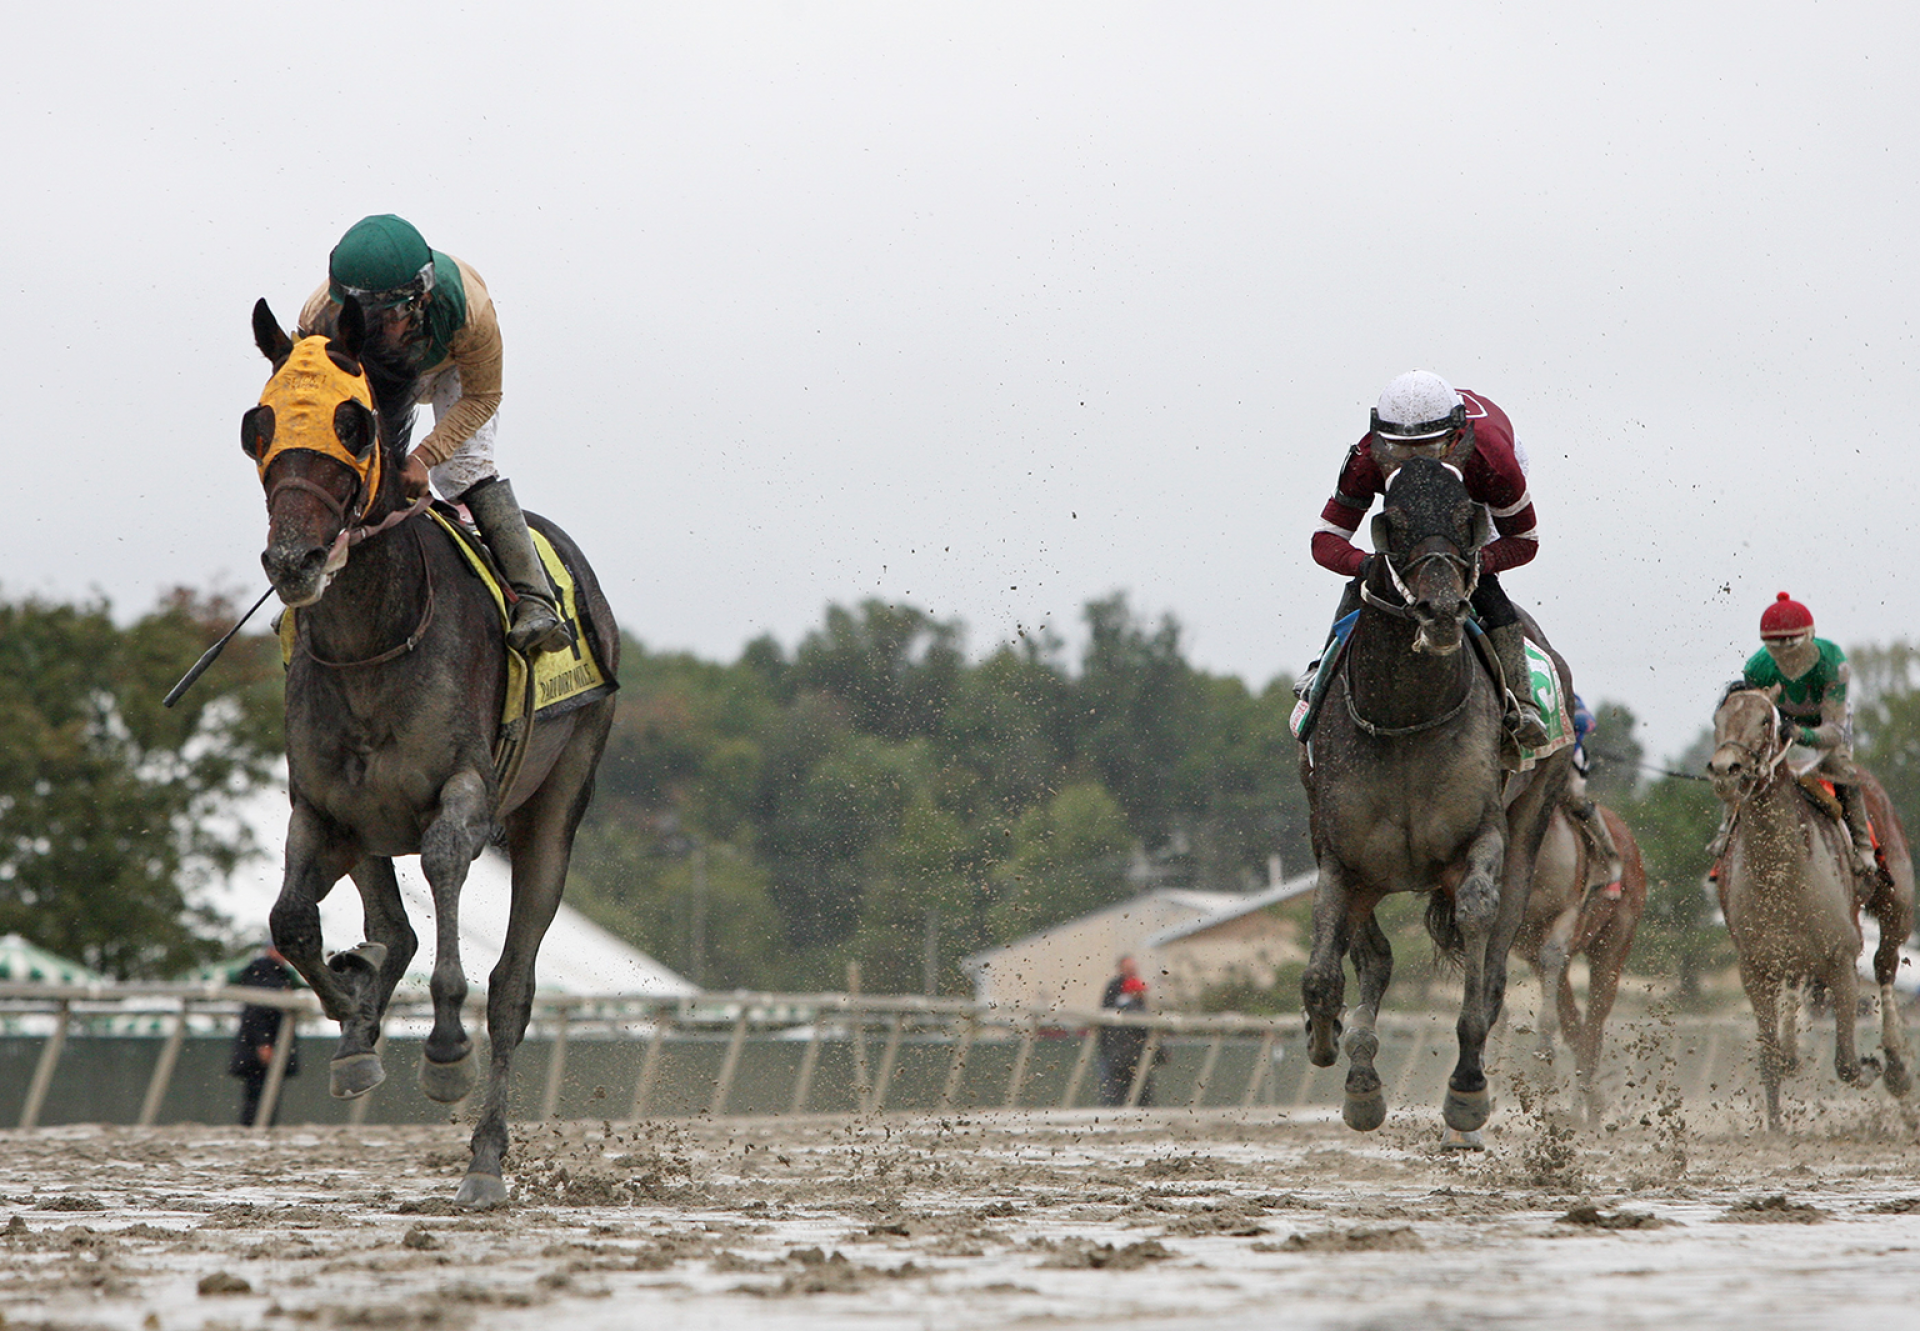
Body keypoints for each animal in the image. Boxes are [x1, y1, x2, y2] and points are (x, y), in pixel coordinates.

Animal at [240, 297, 614, 1206]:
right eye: (257, 426)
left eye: (354, 423)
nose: (293, 560)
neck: (372, 638)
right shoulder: (322, 806)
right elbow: (291, 922)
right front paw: (354, 1023)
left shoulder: (468, 792)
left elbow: (446, 868)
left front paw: (443, 1048)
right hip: (370, 825)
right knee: (393, 927)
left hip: (559, 802)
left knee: (512, 985)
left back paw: (485, 1157)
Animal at [1297, 459, 1566, 1144]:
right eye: (1393, 522)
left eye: (1465, 517)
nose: (1441, 609)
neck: (1404, 715)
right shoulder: (1341, 858)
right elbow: (1327, 972)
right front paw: (1327, 1039)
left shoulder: (1480, 839)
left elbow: (1475, 930)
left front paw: (1467, 1088)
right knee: (1374, 961)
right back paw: (1361, 1072)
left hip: (1531, 827)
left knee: (1492, 968)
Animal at [1512, 798, 1651, 1121]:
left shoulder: (1566, 915)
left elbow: (1552, 954)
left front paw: (1542, 1058)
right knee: (1575, 1024)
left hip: (1612, 946)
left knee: (1592, 1027)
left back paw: (1583, 1111)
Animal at [1712, 683, 1904, 1129]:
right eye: (1718, 719)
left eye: (1766, 720)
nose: (1726, 769)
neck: (1780, 874)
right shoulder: (1755, 968)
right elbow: (1769, 1058)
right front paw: (1776, 1127)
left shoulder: (1841, 958)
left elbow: (1847, 1062)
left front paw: (1871, 1066)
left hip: (1897, 905)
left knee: (1885, 965)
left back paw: (1896, 1067)